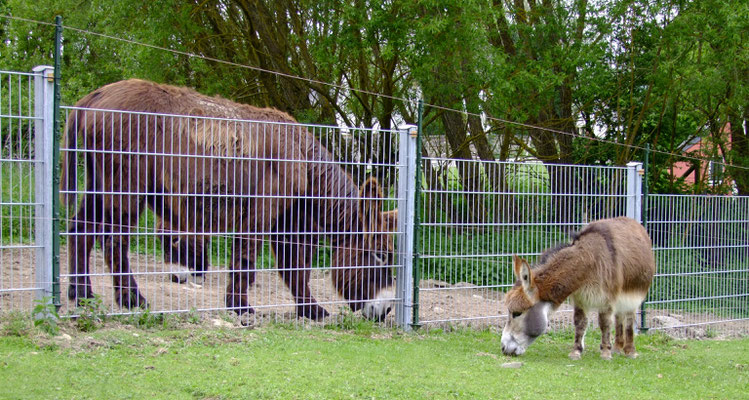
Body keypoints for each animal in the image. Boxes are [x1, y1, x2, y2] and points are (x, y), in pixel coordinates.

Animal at [60, 79, 398, 320]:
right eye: (380, 256)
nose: (386, 311)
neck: (303, 159)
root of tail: (95, 96)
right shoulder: (263, 212)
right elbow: (247, 260)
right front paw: (240, 308)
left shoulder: (289, 221)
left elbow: (295, 268)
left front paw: (311, 311)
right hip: (126, 184)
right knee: (114, 239)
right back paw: (131, 300)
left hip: (97, 182)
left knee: (80, 230)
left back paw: (81, 294)